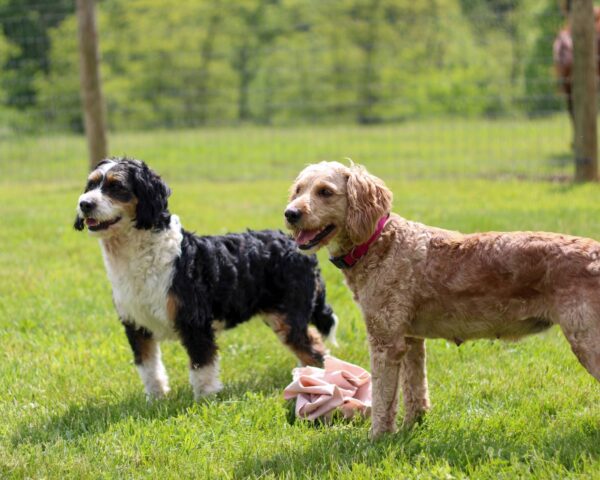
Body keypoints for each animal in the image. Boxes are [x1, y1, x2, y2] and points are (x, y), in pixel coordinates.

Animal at [74, 159, 338, 400]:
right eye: (91, 184)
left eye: (116, 186)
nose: (84, 203)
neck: (143, 256)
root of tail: (298, 247)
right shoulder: (136, 325)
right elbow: (149, 368)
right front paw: (156, 399)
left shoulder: (195, 322)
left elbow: (202, 367)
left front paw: (205, 399)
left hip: (289, 319)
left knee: (316, 351)